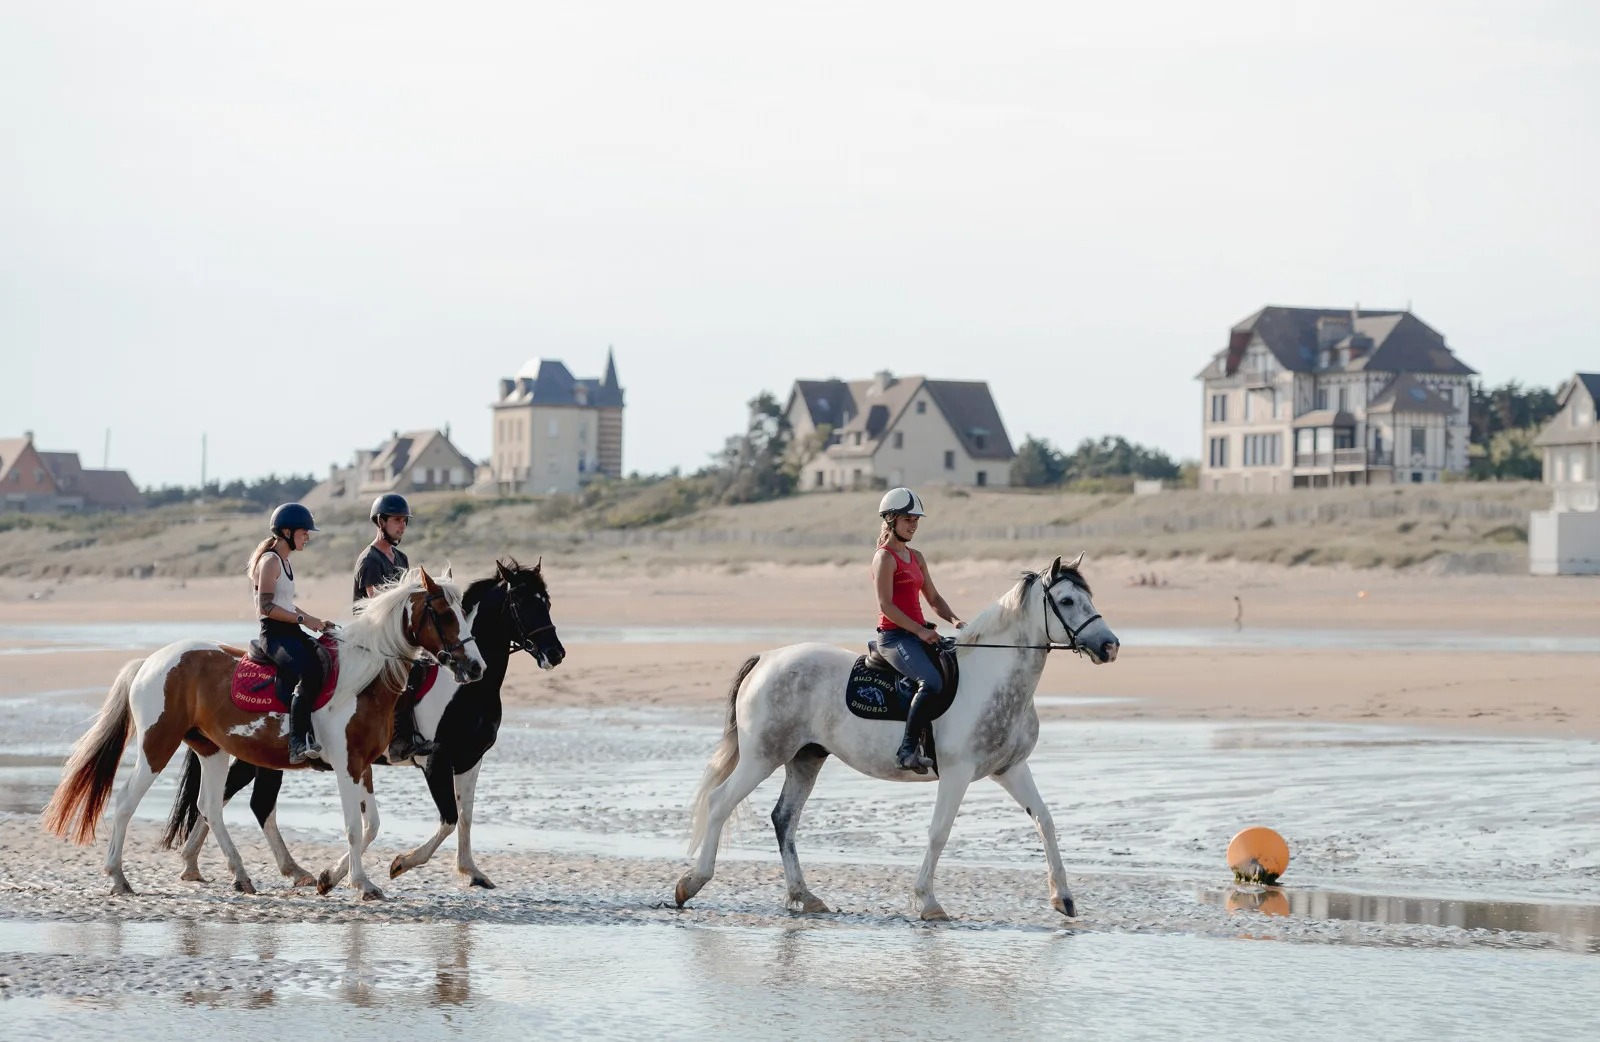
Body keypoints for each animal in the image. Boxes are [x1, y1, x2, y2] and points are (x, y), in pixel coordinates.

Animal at [40, 567, 486, 901]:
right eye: (445, 614)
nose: (476, 667)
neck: (365, 679)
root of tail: (150, 661)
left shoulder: (363, 765)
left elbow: (372, 824)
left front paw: (330, 877)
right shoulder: (347, 766)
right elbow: (354, 827)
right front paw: (362, 883)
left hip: (212, 750)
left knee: (210, 806)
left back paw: (241, 875)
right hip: (157, 746)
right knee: (127, 803)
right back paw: (118, 877)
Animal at [161, 557, 565, 890]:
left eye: (546, 602)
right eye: (522, 604)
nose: (556, 653)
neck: (466, 690)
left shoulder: (470, 759)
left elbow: (463, 817)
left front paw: (471, 871)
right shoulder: (434, 760)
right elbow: (448, 819)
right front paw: (400, 863)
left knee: (249, 804)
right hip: (254, 755)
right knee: (226, 799)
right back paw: (198, 863)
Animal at [674, 554, 1119, 921]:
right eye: (1066, 601)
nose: (1110, 646)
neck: (993, 678)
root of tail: (766, 658)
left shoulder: (1010, 769)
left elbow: (1045, 820)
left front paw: (1063, 897)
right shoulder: (957, 772)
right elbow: (939, 832)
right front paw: (928, 902)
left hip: (806, 757)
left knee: (784, 819)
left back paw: (805, 896)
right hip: (763, 756)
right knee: (720, 802)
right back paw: (691, 883)